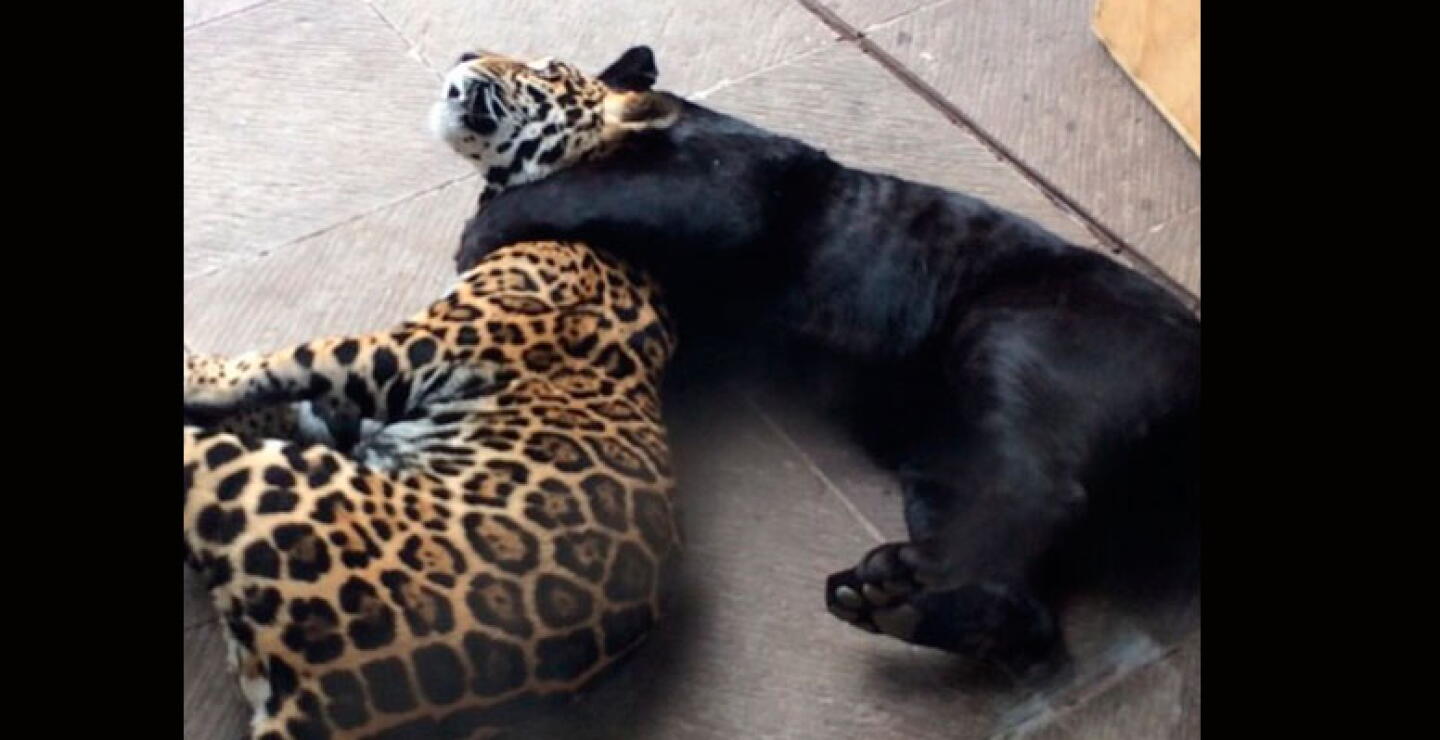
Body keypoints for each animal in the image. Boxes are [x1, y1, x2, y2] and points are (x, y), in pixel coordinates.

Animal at [184, 47, 686, 740]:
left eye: (550, 68)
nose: (466, 53)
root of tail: (321, 708)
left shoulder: (409, 349)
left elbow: (291, 357)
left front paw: (198, 372)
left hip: (271, 482)